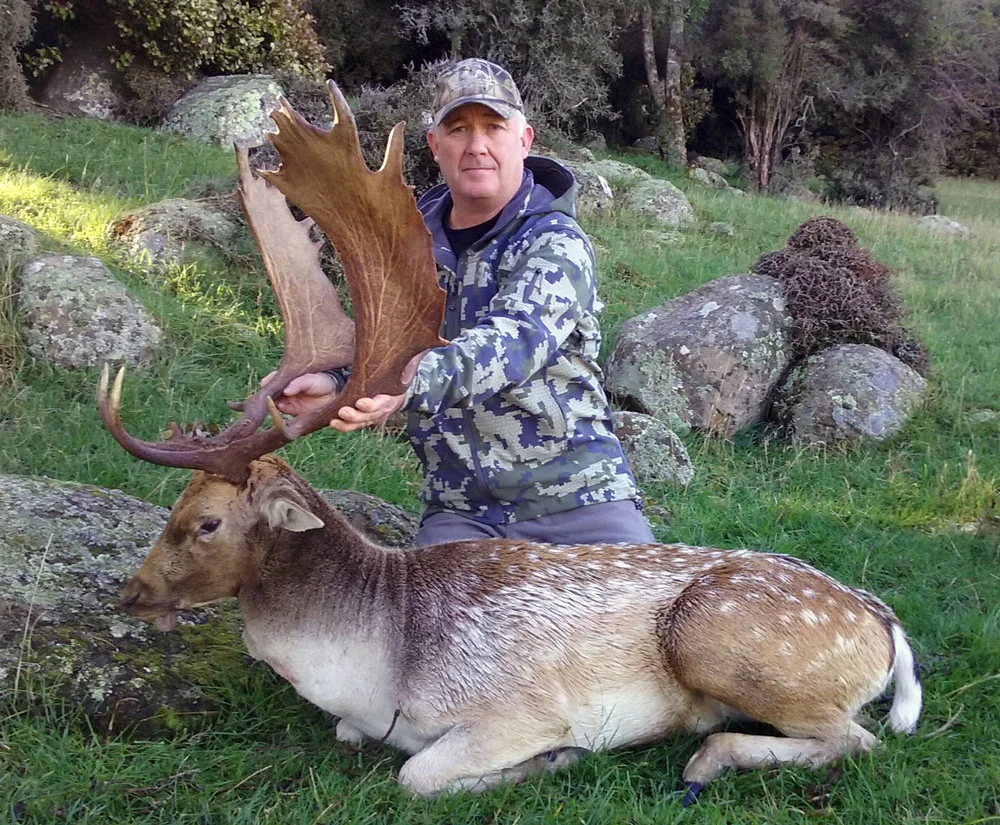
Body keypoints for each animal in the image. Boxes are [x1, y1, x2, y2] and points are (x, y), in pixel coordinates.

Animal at [99, 80, 922, 803]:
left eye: (206, 522)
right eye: (175, 506)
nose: (130, 592)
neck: (377, 670)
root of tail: (885, 626)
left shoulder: (514, 705)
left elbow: (416, 773)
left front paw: (552, 759)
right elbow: (351, 739)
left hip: (722, 636)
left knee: (858, 739)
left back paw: (705, 757)